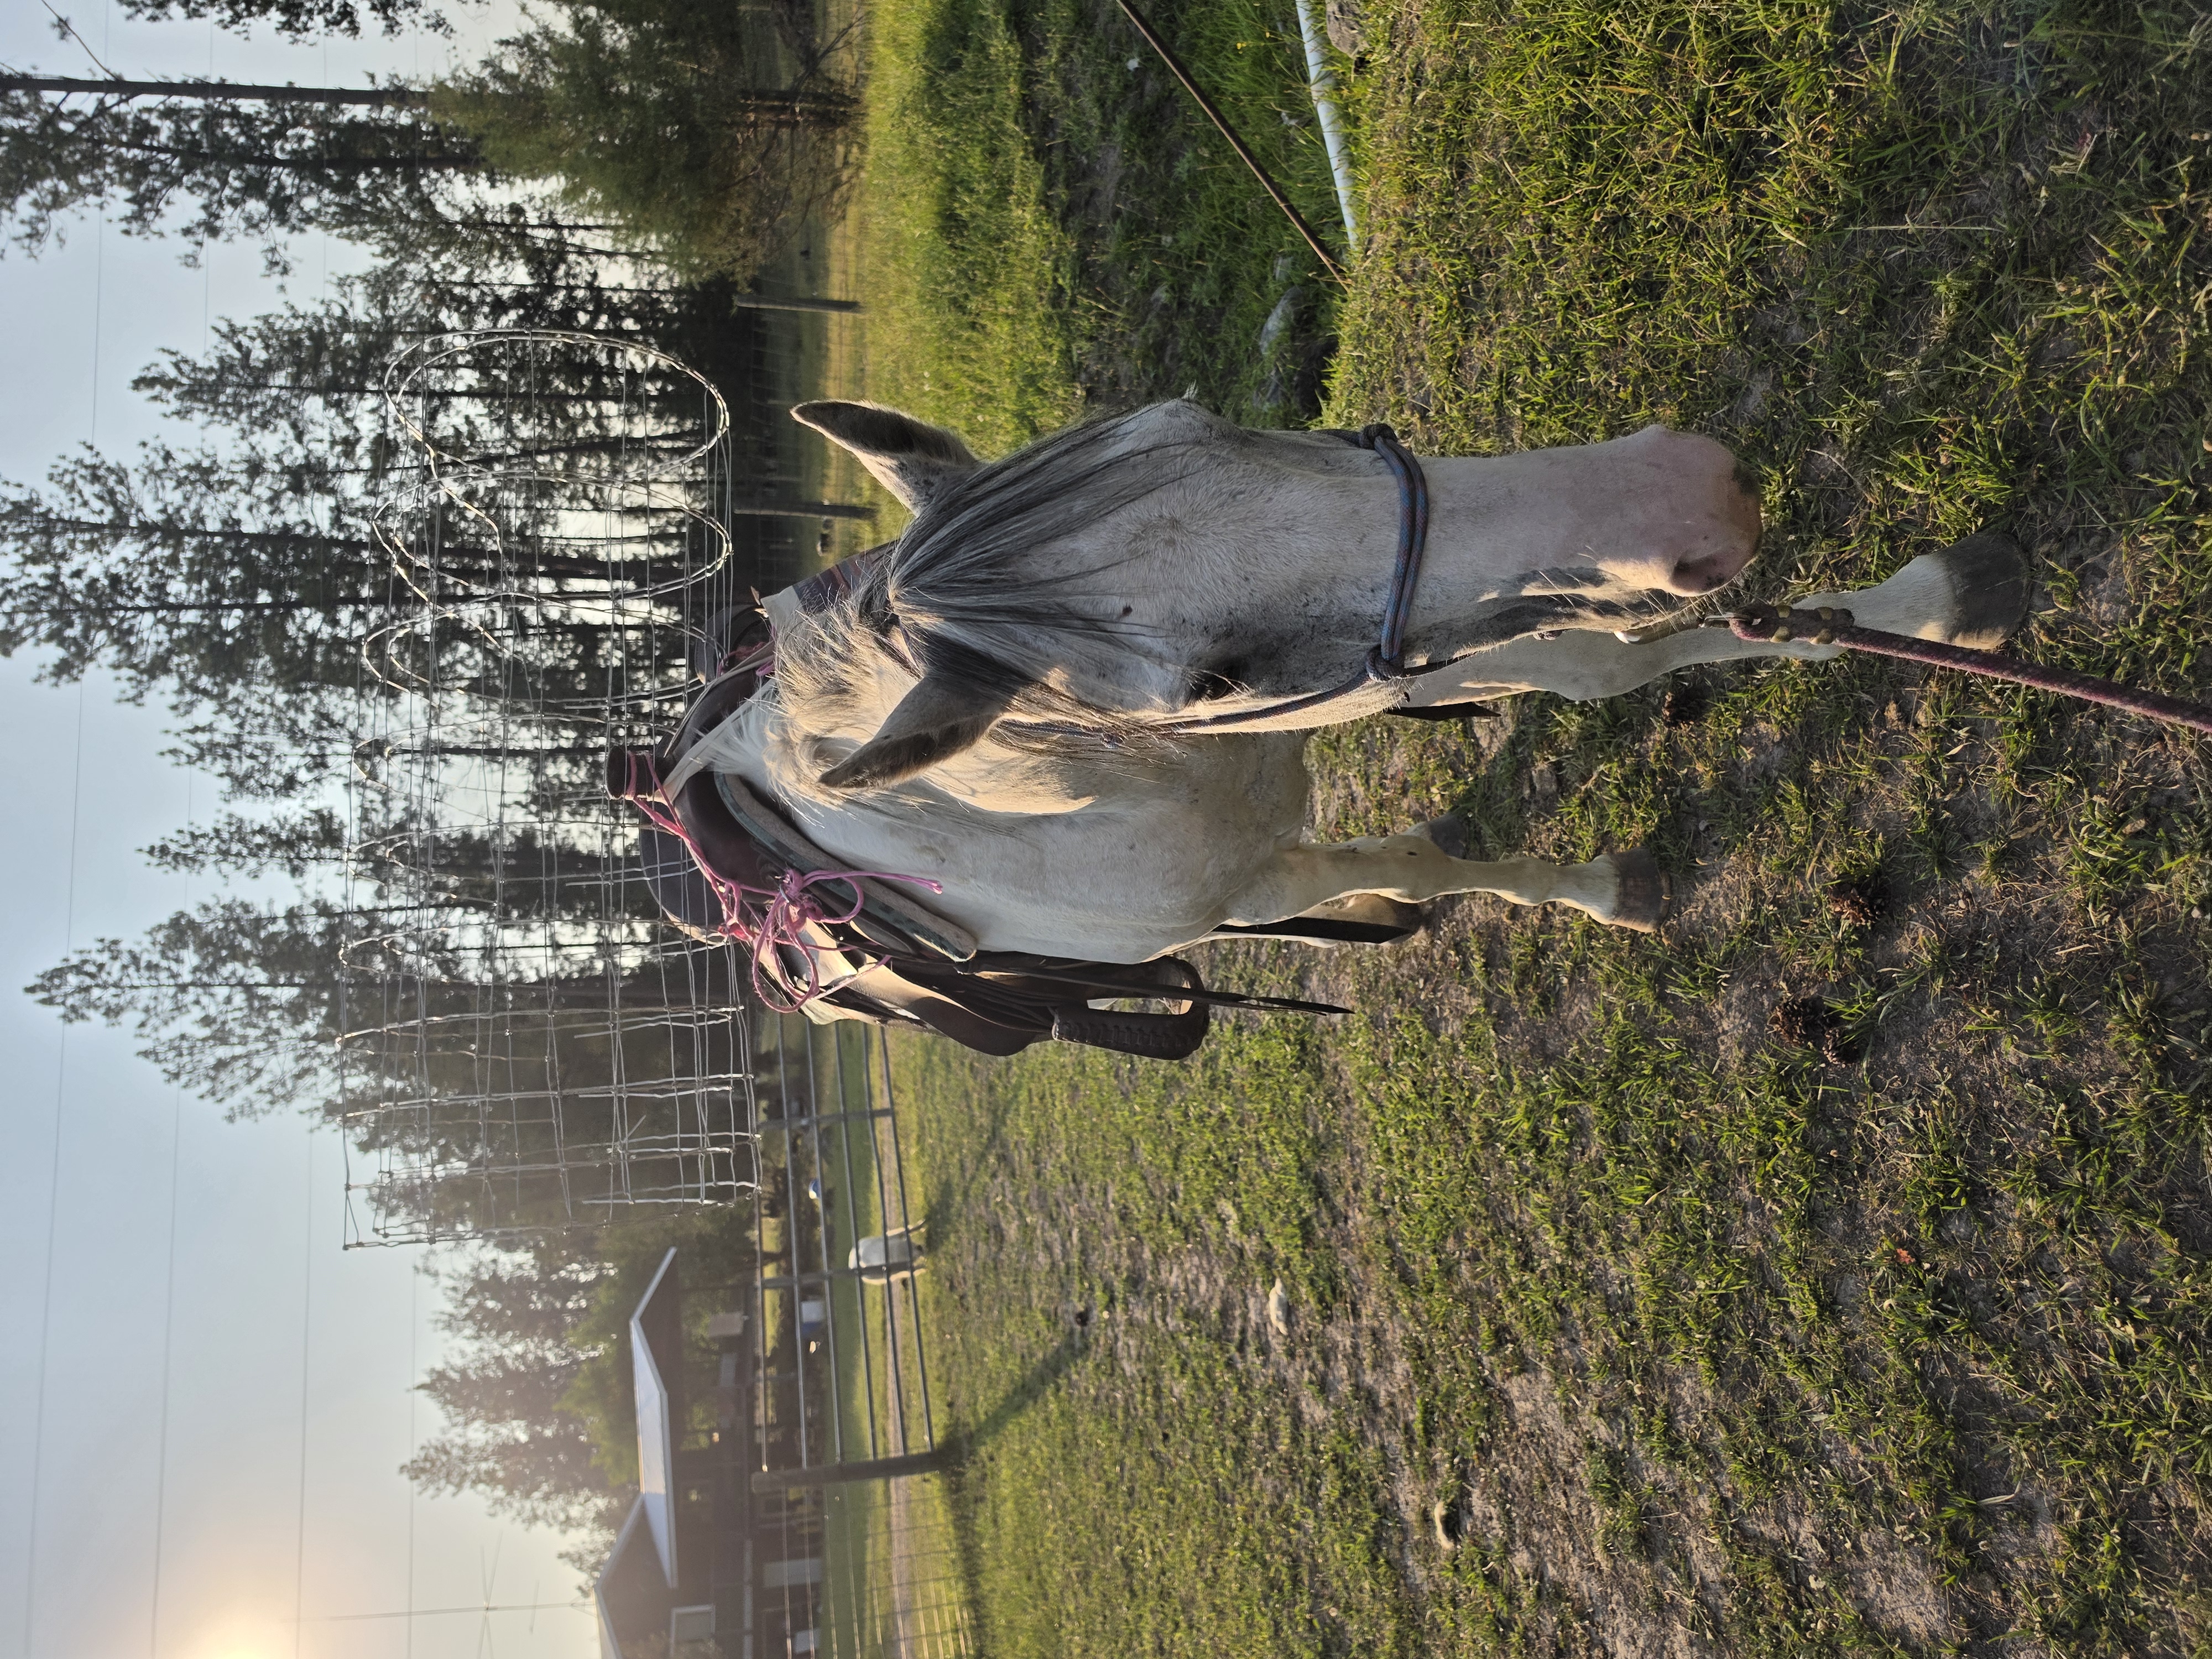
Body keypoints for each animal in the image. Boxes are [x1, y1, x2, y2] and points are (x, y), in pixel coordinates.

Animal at [675, 398, 2027, 965]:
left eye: (1196, 415)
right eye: (1205, 680)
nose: (1688, 501)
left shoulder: (1411, 646)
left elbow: (1611, 664)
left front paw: (1915, 607)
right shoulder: (1262, 867)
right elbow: (1428, 866)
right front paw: (1606, 888)